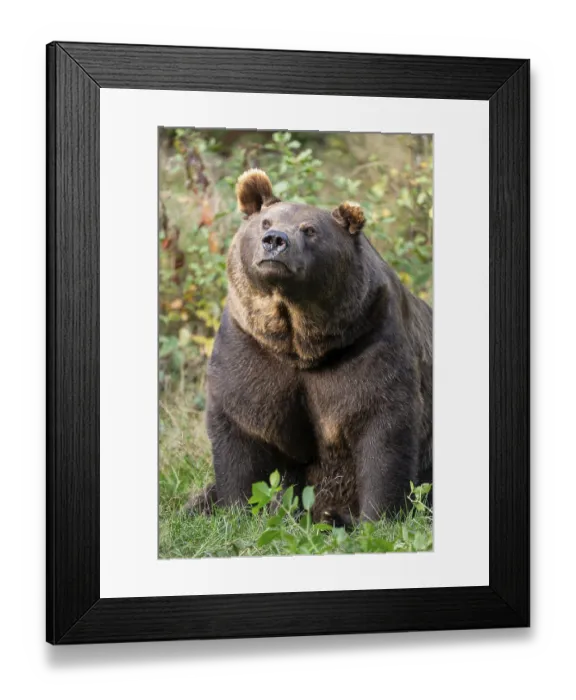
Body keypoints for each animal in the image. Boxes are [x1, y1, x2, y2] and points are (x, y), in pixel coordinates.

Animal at [188, 168, 432, 524]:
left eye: (310, 229)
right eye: (265, 221)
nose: (275, 240)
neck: (300, 342)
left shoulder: (368, 342)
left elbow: (383, 428)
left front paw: (379, 516)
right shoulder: (251, 346)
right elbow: (241, 427)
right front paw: (235, 509)